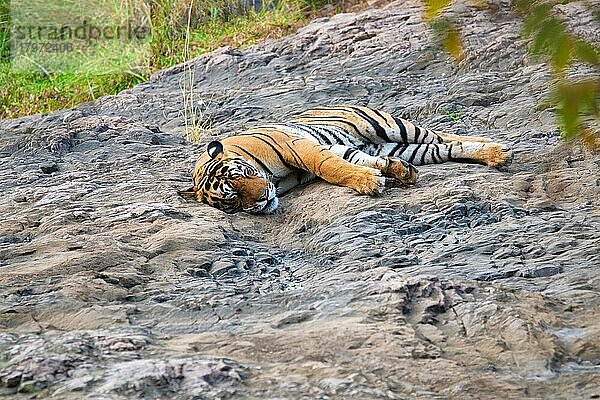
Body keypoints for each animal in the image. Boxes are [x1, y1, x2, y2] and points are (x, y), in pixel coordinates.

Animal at [182, 104, 506, 214]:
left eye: (242, 175)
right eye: (232, 199)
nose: (263, 197)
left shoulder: (299, 146)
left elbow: (331, 168)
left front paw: (369, 184)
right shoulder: (334, 149)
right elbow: (348, 164)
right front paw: (378, 177)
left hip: (390, 125)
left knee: (441, 134)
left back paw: (496, 149)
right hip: (394, 146)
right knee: (440, 148)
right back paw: (403, 171)